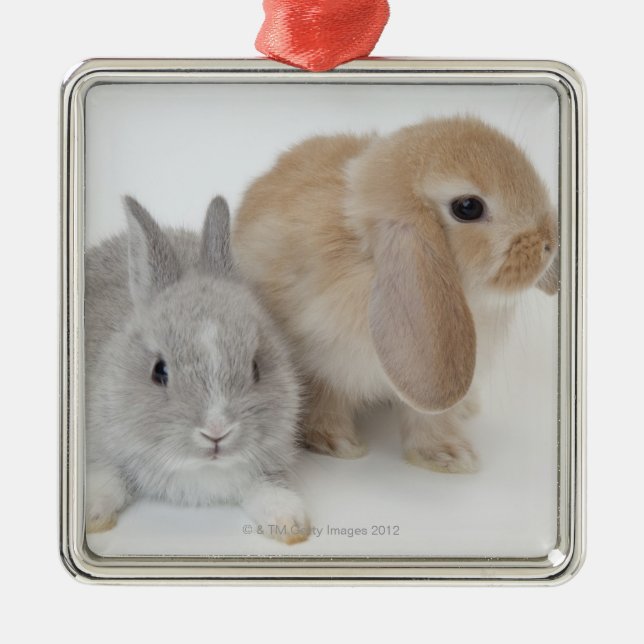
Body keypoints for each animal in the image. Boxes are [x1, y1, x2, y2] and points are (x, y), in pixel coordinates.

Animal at [84, 195, 309, 544]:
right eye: (159, 371)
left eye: (256, 367)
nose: (216, 432)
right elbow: (107, 477)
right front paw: (92, 515)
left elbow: (269, 488)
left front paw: (290, 524)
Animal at [233, 116, 559, 473]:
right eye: (468, 207)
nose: (549, 243)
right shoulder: (322, 360)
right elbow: (324, 400)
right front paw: (337, 443)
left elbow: (428, 418)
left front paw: (449, 455)